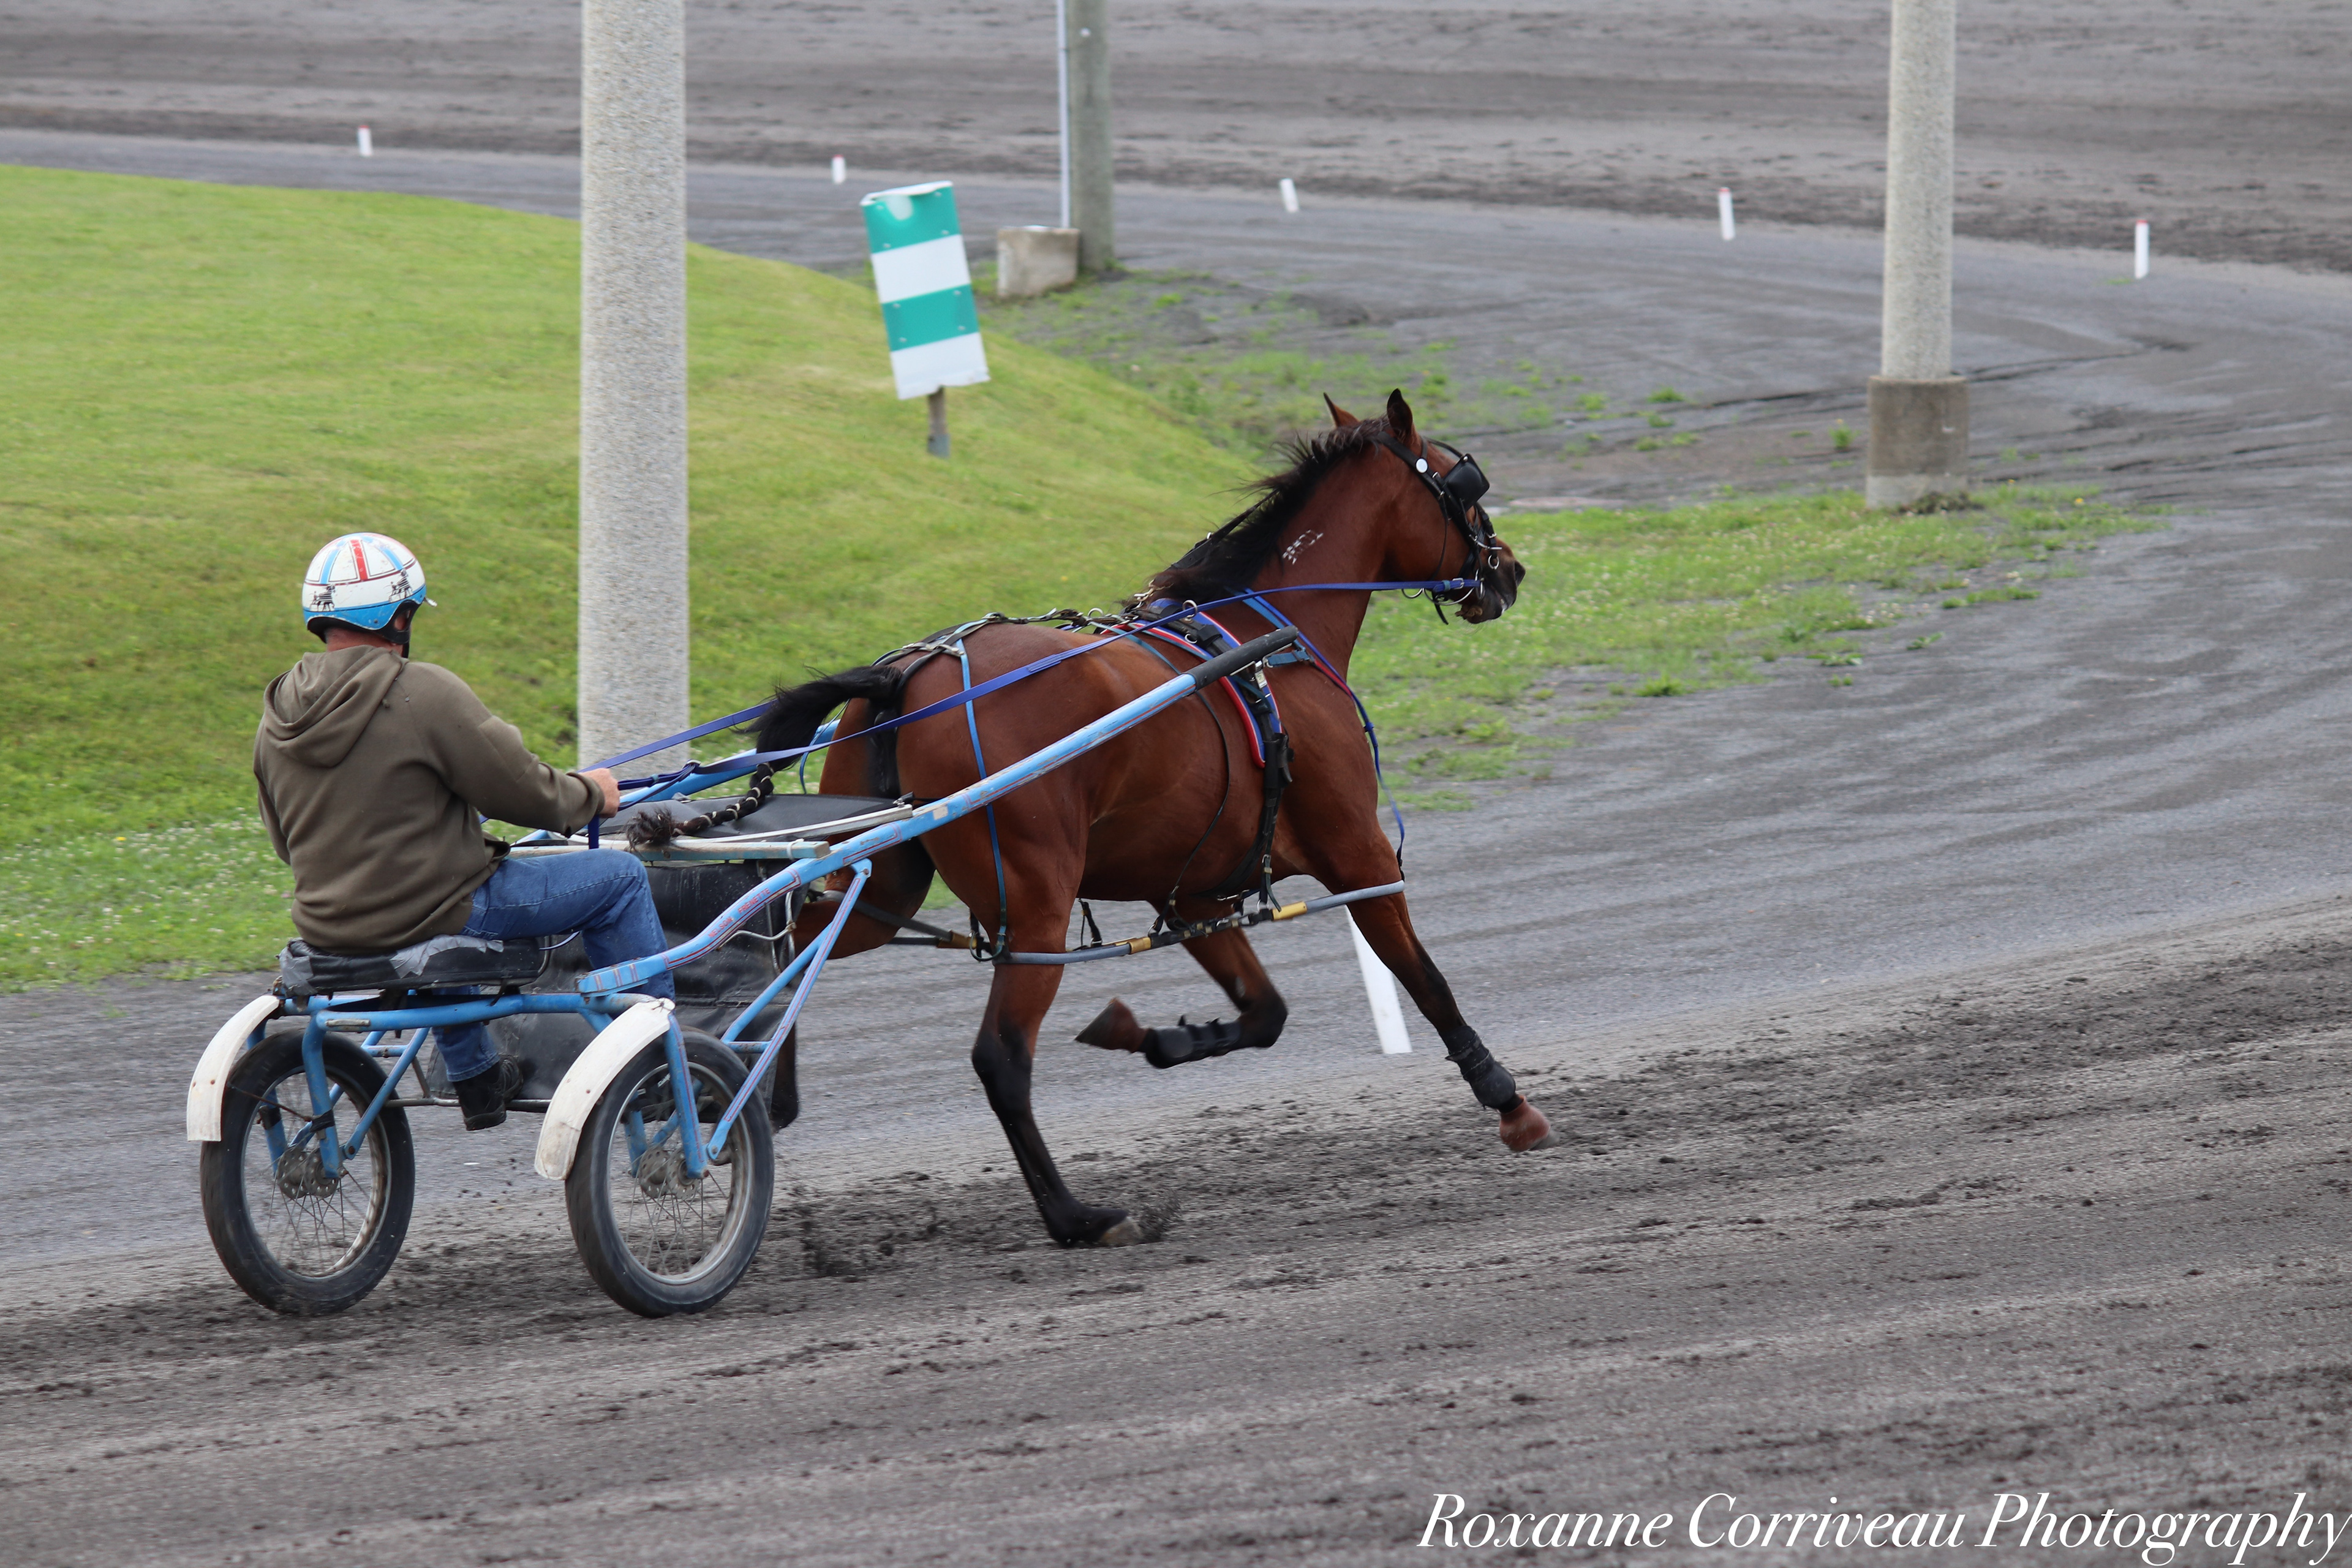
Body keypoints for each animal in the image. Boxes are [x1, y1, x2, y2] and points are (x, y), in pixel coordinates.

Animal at [755, 389, 1554, 1247]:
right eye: (1461, 484)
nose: (1509, 568)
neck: (1268, 640)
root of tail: (908, 676)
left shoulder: (1192, 888)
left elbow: (1264, 1014)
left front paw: (1151, 1035)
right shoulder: (1359, 853)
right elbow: (1425, 977)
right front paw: (1507, 1099)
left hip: (886, 886)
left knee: (792, 951)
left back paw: (760, 1092)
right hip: (1034, 907)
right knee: (1000, 1057)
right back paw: (1077, 1216)